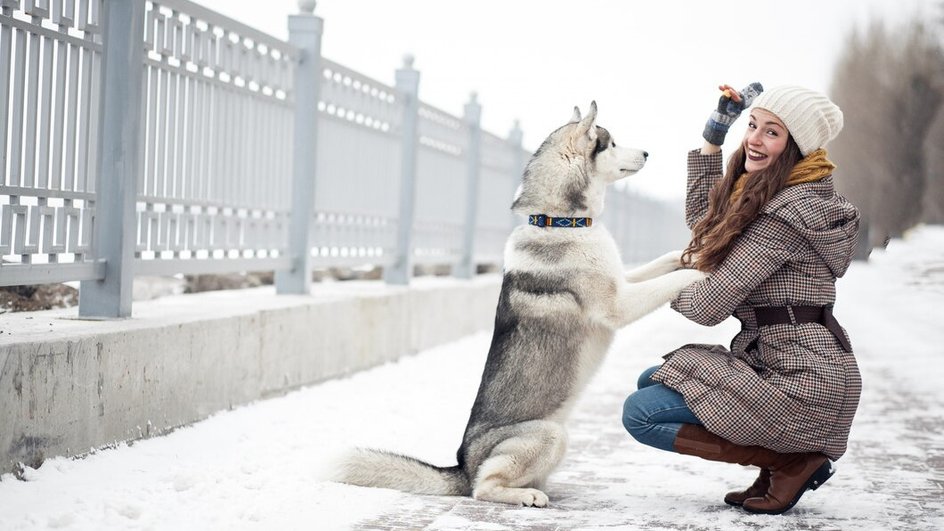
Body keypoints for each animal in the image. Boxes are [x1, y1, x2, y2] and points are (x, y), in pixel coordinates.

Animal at [334, 101, 708, 508]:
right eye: (610, 143)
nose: (647, 153)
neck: (561, 221)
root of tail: (462, 465)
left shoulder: (623, 281)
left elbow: (663, 264)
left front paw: (691, 255)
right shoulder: (618, 303)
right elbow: (669, 282)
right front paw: (701, 273)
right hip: (549, 433)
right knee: (483, 489)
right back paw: (526, 496)